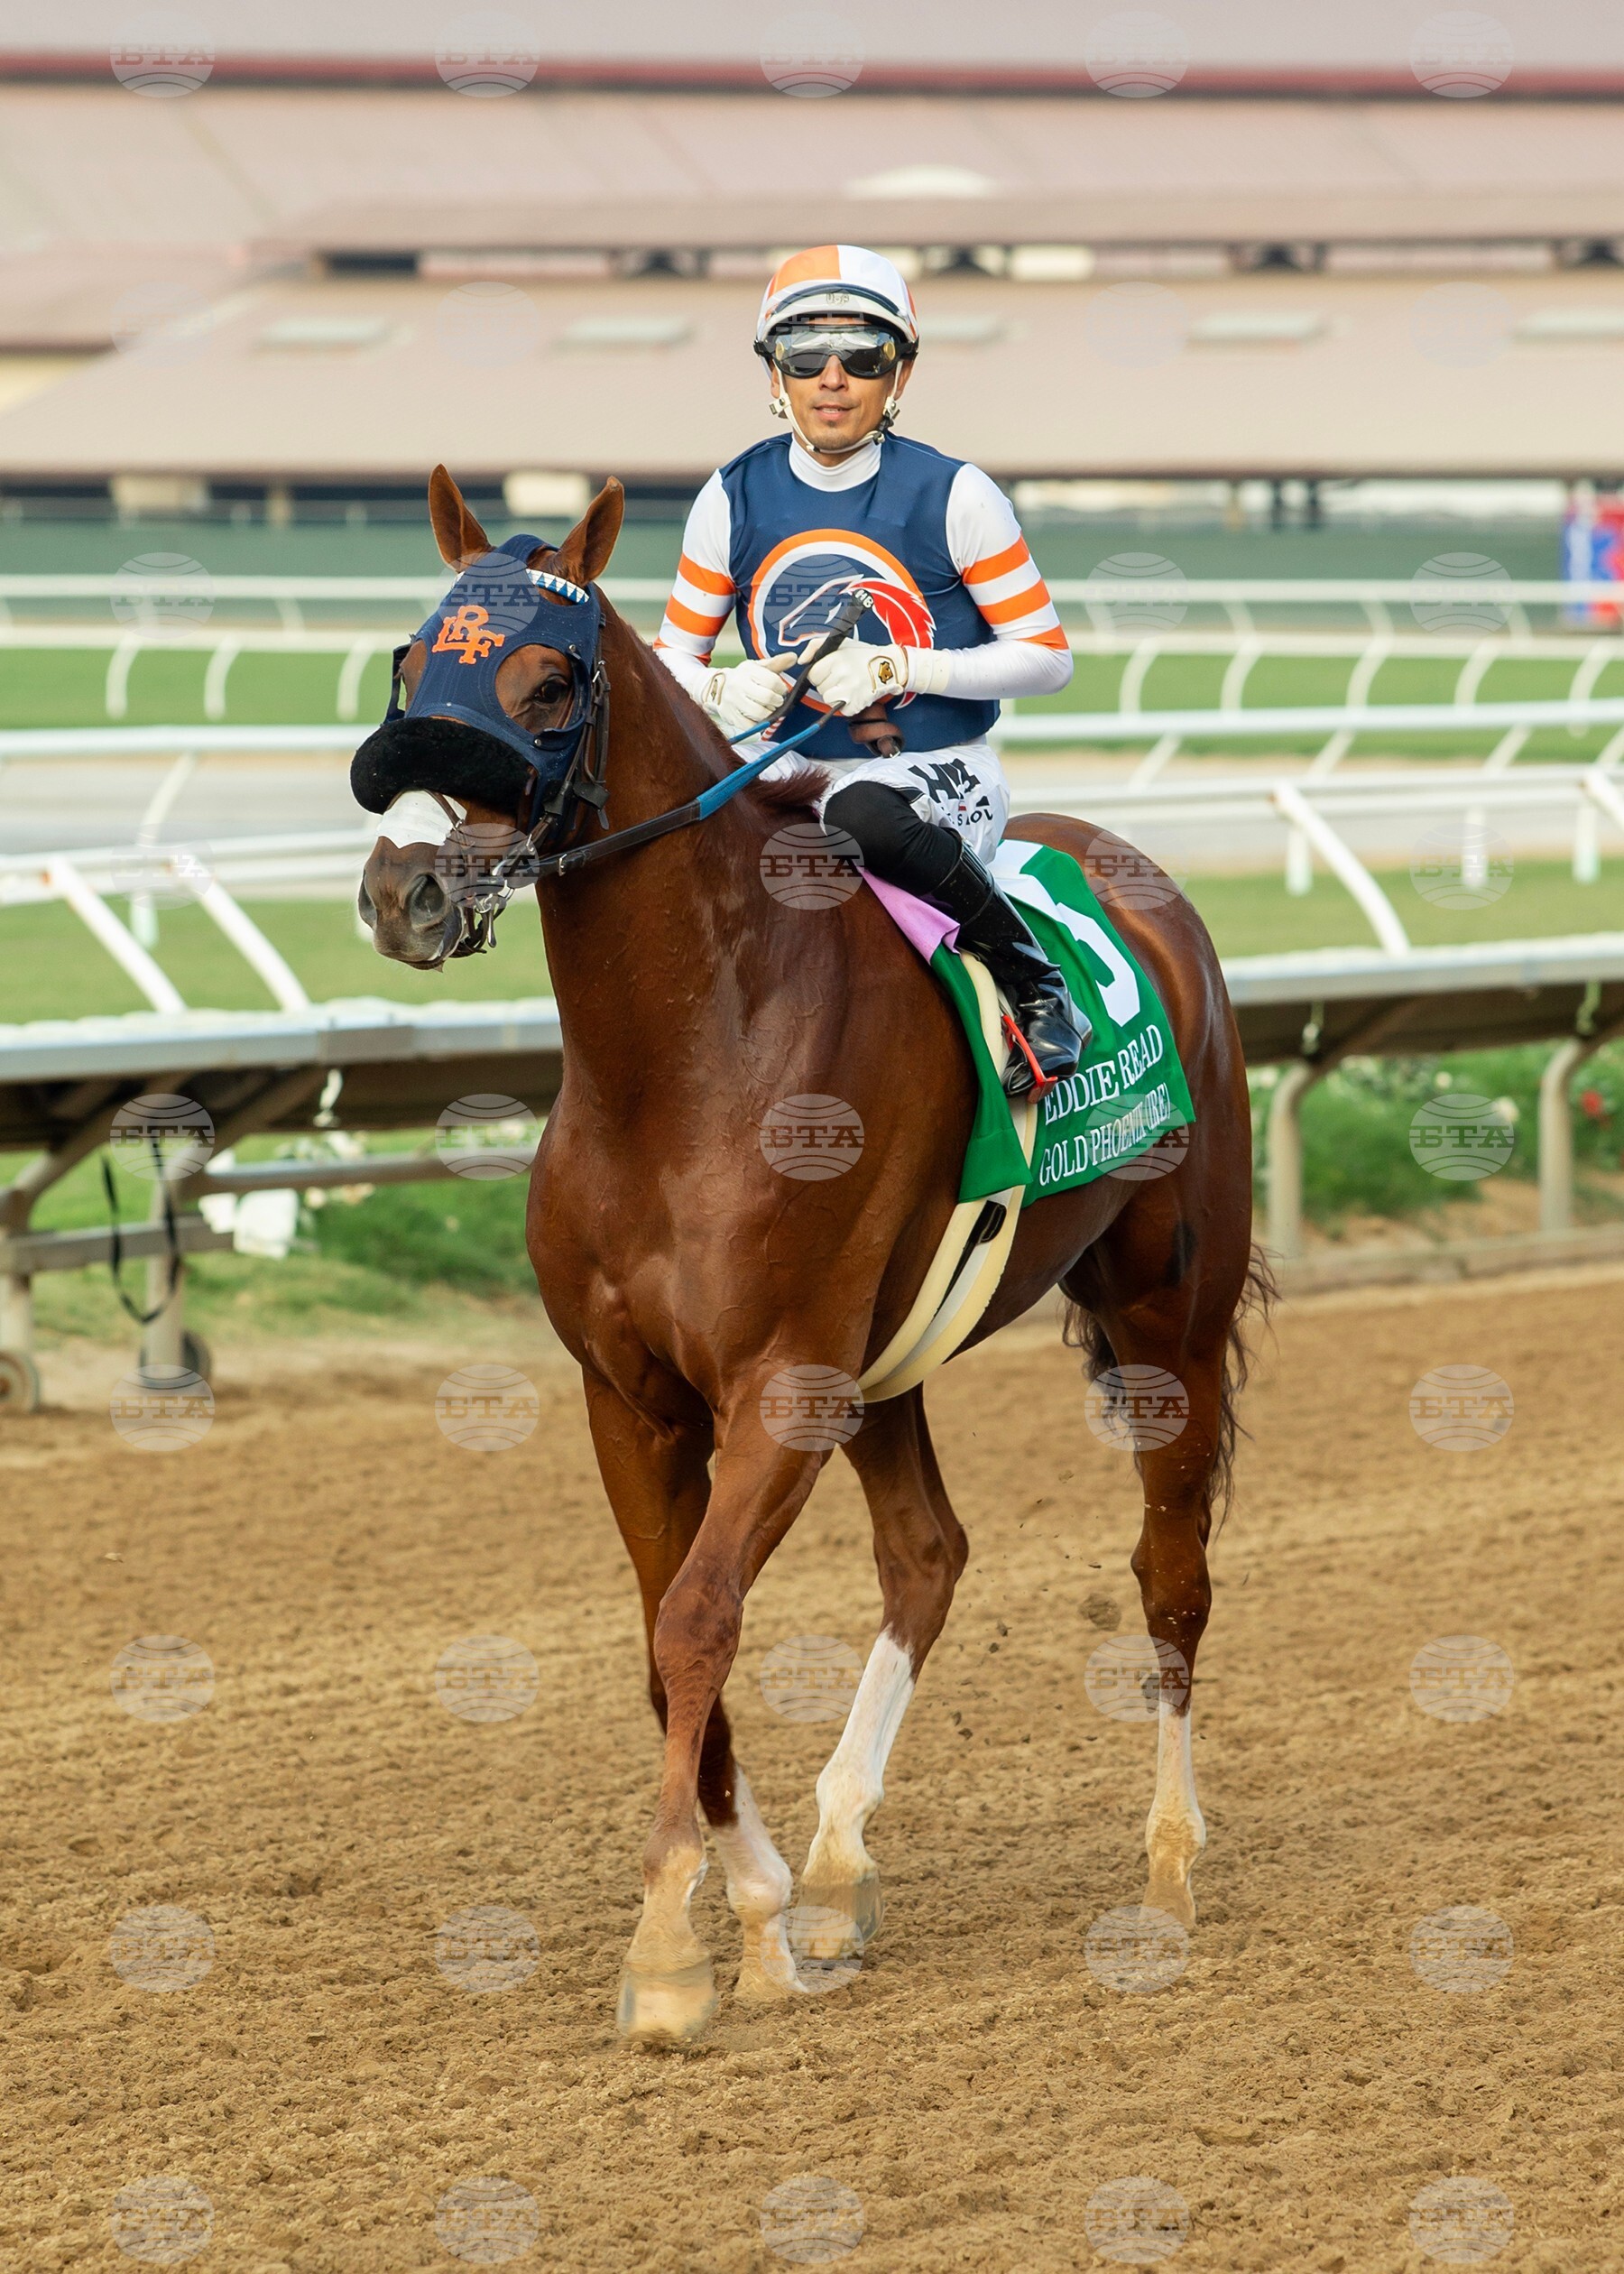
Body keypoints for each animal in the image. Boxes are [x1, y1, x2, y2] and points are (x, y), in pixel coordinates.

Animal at [357, 466, 1265, 2046]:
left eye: (548, 681)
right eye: (417, 664)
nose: (403, 890)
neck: (684, 1057)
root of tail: (1142, 876)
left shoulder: (782, 1380)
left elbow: (699, 1621)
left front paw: (672, 1953)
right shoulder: (636, 1397)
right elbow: (664, 1642)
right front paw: (770, 1906)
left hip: (1168, 1315)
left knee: (1171, 1571)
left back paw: (1166, 1867)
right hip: (892, 1355)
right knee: (929, 1553)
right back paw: (842, 1866)